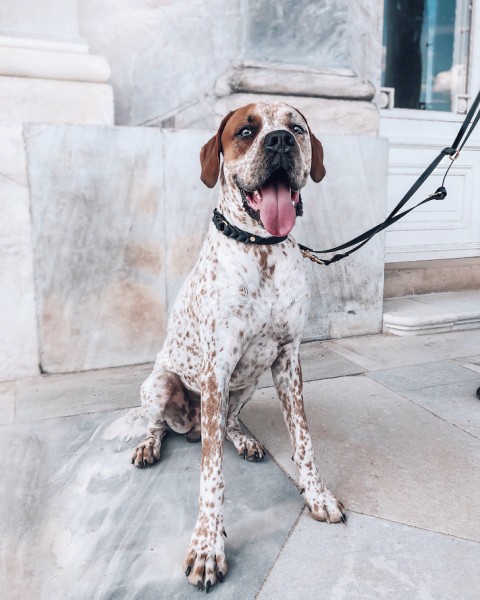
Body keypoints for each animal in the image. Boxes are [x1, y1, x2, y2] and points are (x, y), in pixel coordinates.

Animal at [133, 102, 346, 592]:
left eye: (297, 128)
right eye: (246, 132)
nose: (280, 141)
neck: (261, 248)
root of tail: (191, 425)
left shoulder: (287, 359)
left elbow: (304, 440)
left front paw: (317, 494)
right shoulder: (217, 368)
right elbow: (212, 477)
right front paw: (208, 546)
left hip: (247, 384)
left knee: (228, 421)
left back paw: (243, 440)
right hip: (160, 383)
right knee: (157, 424)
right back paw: (150, 445)